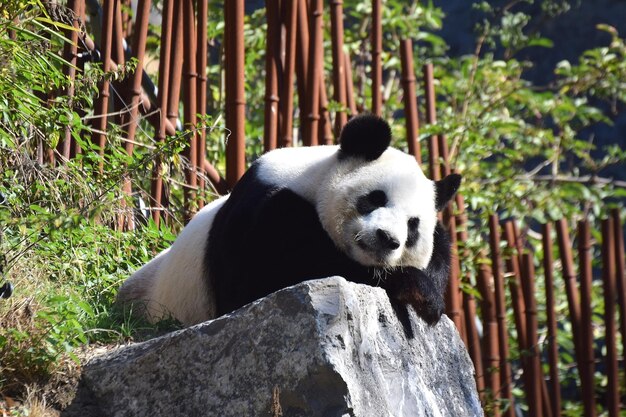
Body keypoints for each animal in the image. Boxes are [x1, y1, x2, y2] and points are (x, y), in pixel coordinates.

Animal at [117, 114, 458, 334]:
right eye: (376, 198)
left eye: (413, 226)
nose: (387, 238)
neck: (311, 181)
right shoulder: (259, 212)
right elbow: (261, 282)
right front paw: (414, 287)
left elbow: (441, 246)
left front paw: (424, 290)